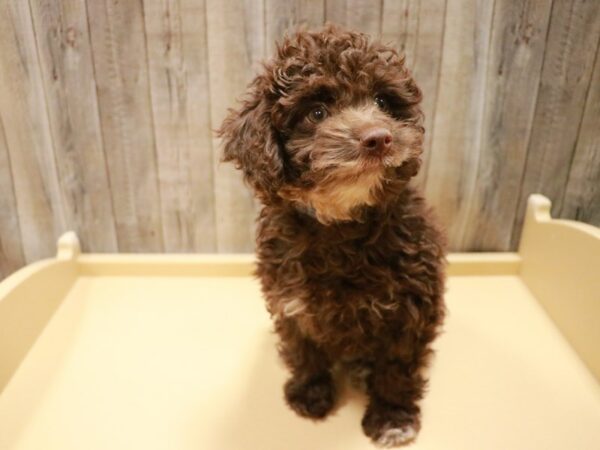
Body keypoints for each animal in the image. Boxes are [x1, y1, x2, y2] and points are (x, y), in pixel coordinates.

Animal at [220, 26, 446, 448]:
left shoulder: (411, 310)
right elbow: (304, 350)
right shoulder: (290, 301)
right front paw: (310, 394)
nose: (379, 138)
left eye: (382, 101)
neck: (342, 225)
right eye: (316, 113)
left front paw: (392, 417)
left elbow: (397, 367)